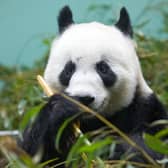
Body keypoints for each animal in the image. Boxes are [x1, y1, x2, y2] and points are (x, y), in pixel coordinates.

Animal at [20, 5, 167, 167]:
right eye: (68, 69)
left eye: (103, 68)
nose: (84, 98)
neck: (94, 120)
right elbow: (33, 154)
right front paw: (64, 107)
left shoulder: (145, 110)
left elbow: (153, 148)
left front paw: (105, 147)